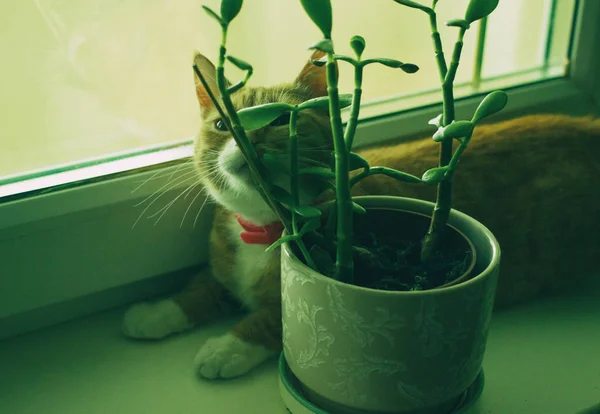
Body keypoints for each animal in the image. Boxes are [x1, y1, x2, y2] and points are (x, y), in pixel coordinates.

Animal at [120, 48, 600, 378]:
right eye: (223, 125)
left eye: (280, 122)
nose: (248, 141)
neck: (266, 228)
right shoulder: (223, 262)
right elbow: (201, 285)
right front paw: (157, 311)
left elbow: (271, 317)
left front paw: (226, 347)